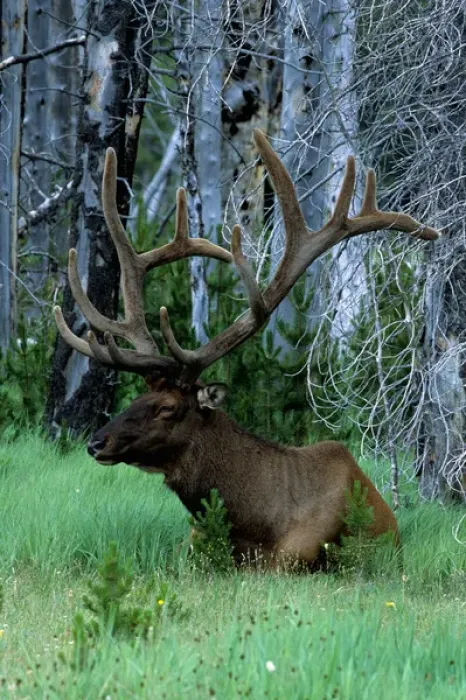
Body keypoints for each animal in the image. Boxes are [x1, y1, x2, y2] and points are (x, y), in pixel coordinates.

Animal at [54, 131, 440, 568]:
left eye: (167, 407)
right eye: (136, 397)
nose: (96, 442)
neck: (253, 522)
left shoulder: (296, 560)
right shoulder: (190, 547)